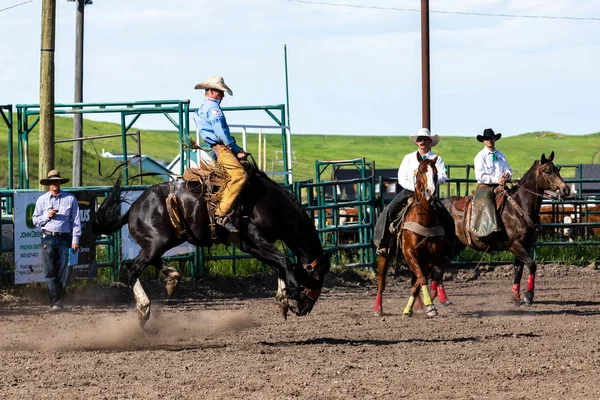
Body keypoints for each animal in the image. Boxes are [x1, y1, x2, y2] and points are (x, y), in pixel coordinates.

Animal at [91, 161, 330, 326]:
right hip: (157, 241)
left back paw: (172, 278)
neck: (271, 203)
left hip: (165, 241)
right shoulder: (253, 238)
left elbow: (279, 263)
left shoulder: (251, 245)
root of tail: (132, 208)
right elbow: (283, 260)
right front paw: (291, 295)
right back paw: (144, 309)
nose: (305, 309)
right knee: (131, 268)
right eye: (319, 276)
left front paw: (282, 298)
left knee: (145, 262)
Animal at [372, 155, 448, 318]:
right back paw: (377, 309)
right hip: (384, 255)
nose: (430, 192)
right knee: (381, 282)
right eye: (420, 171)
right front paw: (428, 306)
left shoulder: (430, 258)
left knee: (415, 279)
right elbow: (421, 279)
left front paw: (421, 307)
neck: (424, 219)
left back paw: (418, 306)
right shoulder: (409, 252)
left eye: (436, 173)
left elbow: (418, 281)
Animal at [442, 152, 568, 304]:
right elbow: (531, 265)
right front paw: (528, 295)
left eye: (557, 169)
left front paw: (517, 296)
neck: (518, 207)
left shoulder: (525, 246)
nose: (565, 189)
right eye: (547, 171)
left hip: (455, 246)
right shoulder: (515, 245)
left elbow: (518, 270)